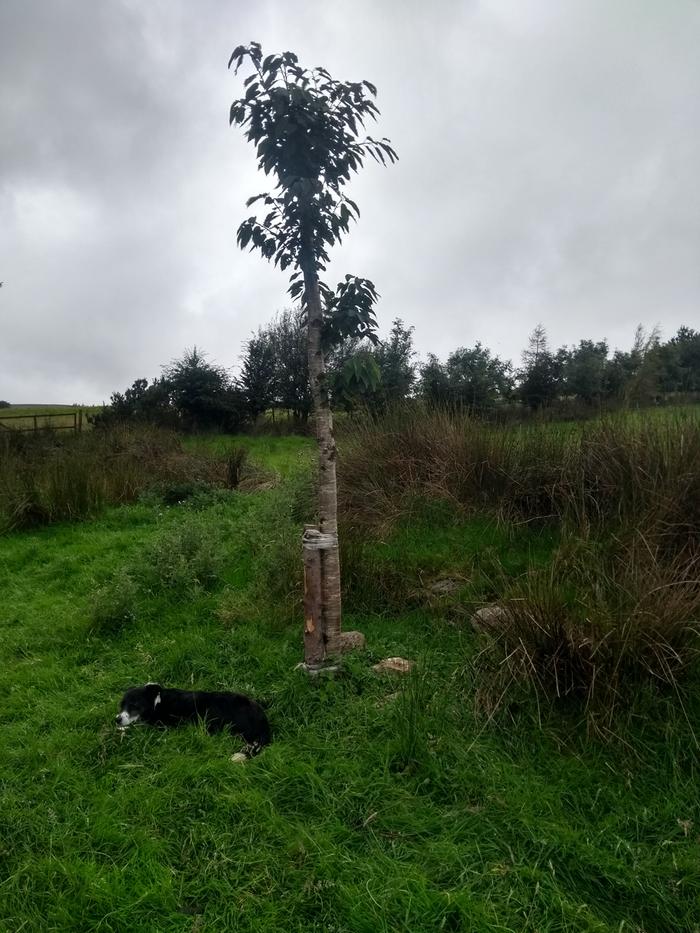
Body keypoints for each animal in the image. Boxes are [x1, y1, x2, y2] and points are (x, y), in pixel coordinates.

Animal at [115, 684, 270, 756]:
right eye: (121, 705)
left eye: (134, 705)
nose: (117, 719)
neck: (156, 703)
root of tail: (263, 722)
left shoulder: (162, 726)